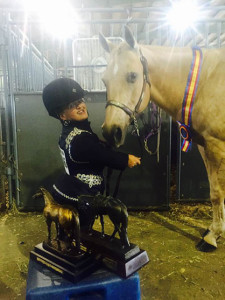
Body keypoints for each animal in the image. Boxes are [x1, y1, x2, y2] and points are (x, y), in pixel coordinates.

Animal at [100, 25, 225, 252]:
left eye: (133, 76)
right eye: (104, 81)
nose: (111, 132)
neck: (207, 82)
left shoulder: (217, 145)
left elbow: (218, 192)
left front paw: (212, 237)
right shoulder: (206, 146)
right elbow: (214, 189)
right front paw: (213, 231)